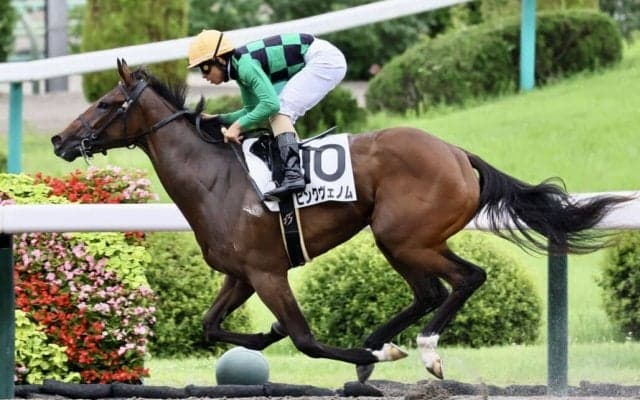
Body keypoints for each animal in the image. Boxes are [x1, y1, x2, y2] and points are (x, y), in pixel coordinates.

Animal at [51, 59, 628, 383]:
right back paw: (379, 344)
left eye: (104, 102)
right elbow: (211, 325)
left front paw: (347, 349)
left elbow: (305, 340)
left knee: (463, 280)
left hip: (401, 235)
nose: (59, 139)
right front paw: (267, 334)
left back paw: (418, 350)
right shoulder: (240, 274)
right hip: (408, 239)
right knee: (433, 291)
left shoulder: (267, 273)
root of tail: (460, 155)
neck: (215, 178)